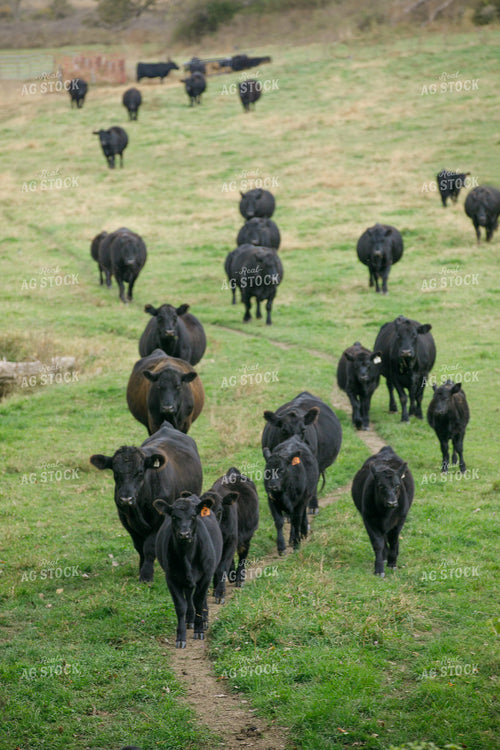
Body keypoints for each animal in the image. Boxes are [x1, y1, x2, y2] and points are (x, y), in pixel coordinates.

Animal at [90, 422, 202, 583]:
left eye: (140, 472)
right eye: (115, 473)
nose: (126, 499)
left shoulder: (160, 519)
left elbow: (149, 547)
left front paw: (147, 575)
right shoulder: (125, 519)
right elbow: (139, 547)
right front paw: (141, 569)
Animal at [154, 493, 223, 647]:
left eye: (193, 516)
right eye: (174, 517)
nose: (184, 534)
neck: (187, 557)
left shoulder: (206, 575)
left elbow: (199, 600)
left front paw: (199, 629)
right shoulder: (171, 578)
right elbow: (181, 606)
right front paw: (181, 637)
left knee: (200, 599)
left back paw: (204, 620)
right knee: (189, 596)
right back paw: (190, 619)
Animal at [203, 466, 259, 603]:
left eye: (219, 510)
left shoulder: (231, 540)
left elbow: (222, 567)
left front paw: (220, 593)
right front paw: (215, 588)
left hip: (246, 536)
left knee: (243, 555)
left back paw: (239, 578)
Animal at [351, 445, 414, 577]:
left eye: (397, 485)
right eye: (380, 486)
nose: (392, 503)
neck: (386, 515)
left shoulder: (399, 520)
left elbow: (393, 540)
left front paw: (392, 563)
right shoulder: (369, 520)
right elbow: (378, 544)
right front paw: (379, 569)